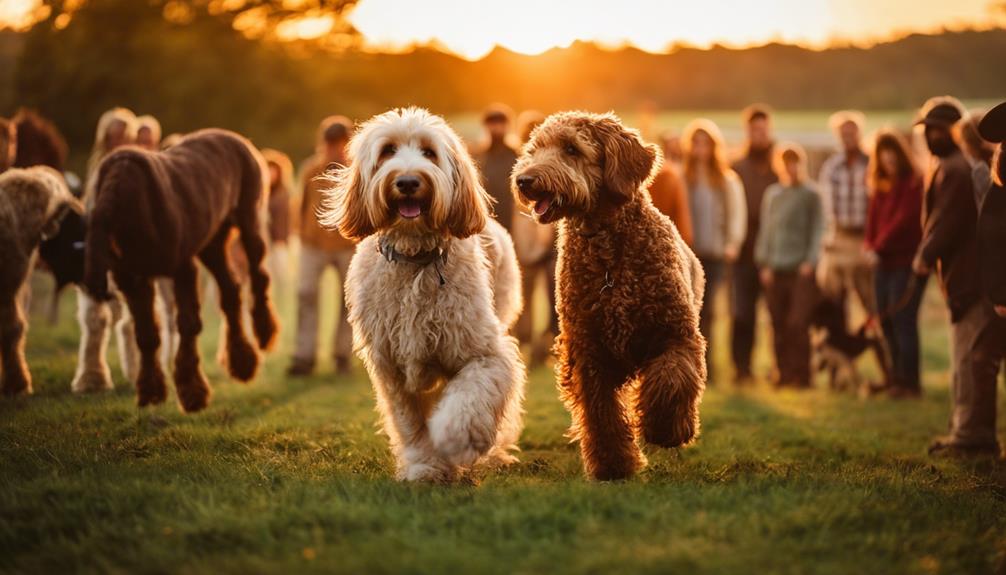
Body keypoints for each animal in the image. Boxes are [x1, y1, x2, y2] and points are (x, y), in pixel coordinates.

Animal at [82, 128, 277, 410]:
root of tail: (237, 138)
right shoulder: (133, 279)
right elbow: (146, 334)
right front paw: (150, 389)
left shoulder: (182, 268)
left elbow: (188, 323)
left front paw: (192, 390)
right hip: (212, 244)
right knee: (230, 291)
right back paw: (242, 363)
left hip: (249, 220)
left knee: (259, 276)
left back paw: (264, 332)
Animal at [321, 106, 527, 480]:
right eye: (388, 151)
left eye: (430, 153)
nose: (407, 182)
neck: (415, 259)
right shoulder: (393, 368)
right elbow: (411, 425)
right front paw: (425, 466)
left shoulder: (485, 353)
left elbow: (470, 398)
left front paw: (454, 437)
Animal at [511, 112, 708, 480]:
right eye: (535, 149)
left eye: (571, 149)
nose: (524, 180)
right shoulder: (588, 351)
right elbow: (600, 413)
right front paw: (613, 464)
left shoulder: (677, 334)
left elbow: (672, 379)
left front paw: (666, 429)